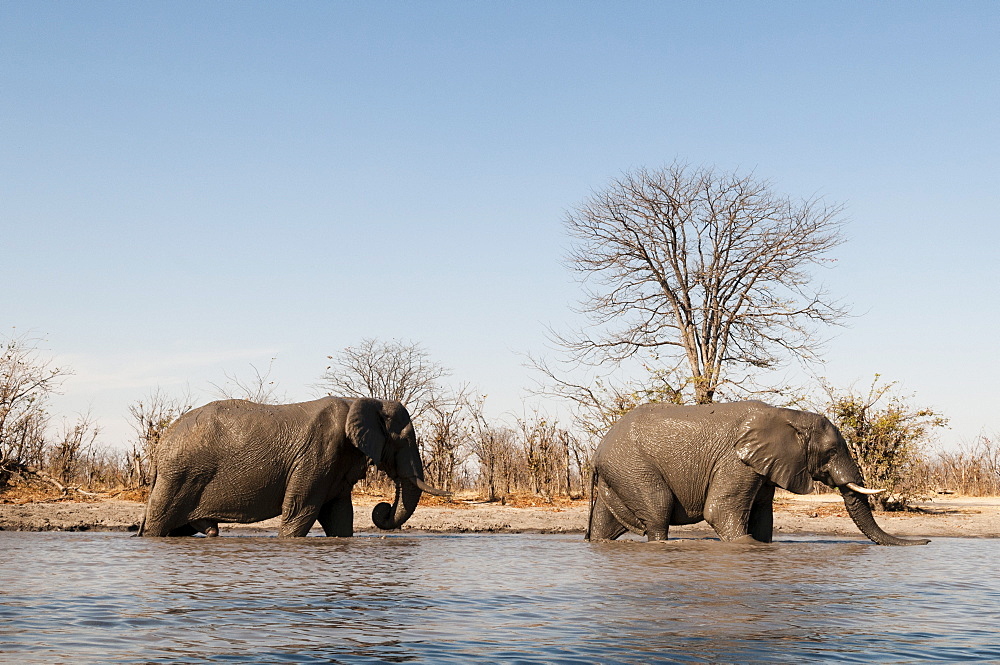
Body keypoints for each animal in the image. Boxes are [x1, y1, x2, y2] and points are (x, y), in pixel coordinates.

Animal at [140, 396, 450, 536]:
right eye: (404, 440)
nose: (382, 508)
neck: (363, 401)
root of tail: (162, 442)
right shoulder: (319, 453)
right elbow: (301, 510)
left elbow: (339, 515)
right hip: (178, 476)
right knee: (159, 523)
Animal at [584, 400, 928, 544]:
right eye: (830, 452)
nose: (924, 542)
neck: (788, 415)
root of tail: (598, 452)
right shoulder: (735, 461)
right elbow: (720, 511)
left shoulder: (763, 465)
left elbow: (764, 515)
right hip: (633, 468)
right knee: (658, 513)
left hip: (620, 473)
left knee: (606, 524)